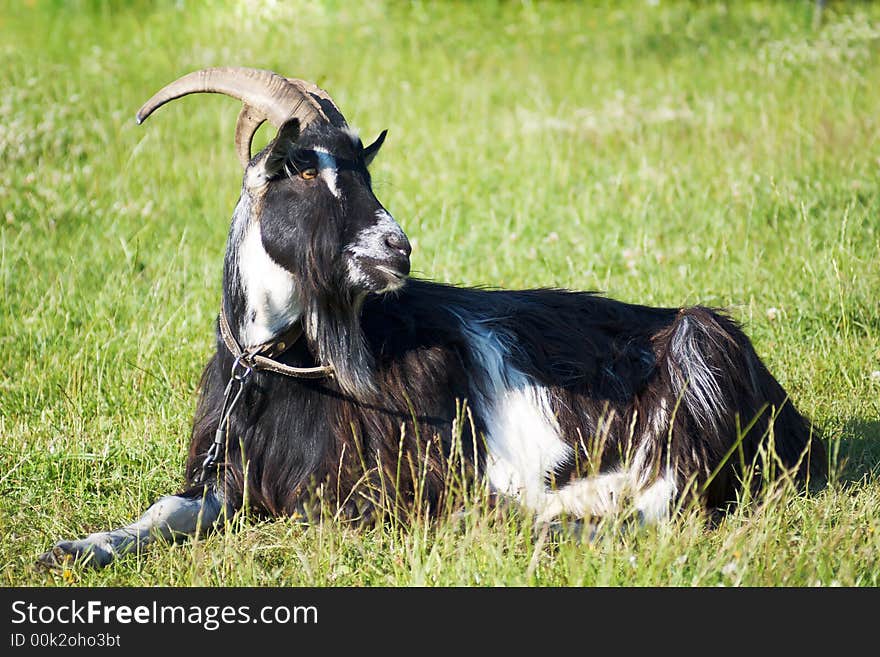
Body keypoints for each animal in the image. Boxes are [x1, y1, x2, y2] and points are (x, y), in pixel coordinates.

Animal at [39, 68, 824, 568]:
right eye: (302, 168)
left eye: (365, 171)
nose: (398, 245)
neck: (286, 364)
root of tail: (794, 420)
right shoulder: (228, 470)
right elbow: (163, 512)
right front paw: (75, 548)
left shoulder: (386, 482)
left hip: (697, 347)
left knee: (671, 500)